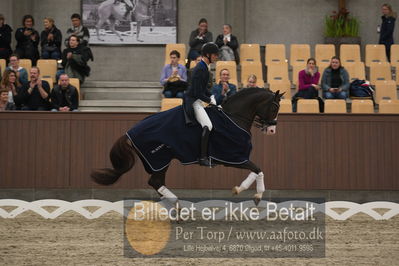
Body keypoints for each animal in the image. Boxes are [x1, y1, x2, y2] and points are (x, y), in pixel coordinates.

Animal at [90, 88, 284, 205]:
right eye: (274, 107)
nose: (272, 130)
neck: (233, 117)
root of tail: (130, 132)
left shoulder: (237, 159)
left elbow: (256, 170)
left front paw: (242, 190)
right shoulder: (233, 157)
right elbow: (258, 169)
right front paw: (255, 194)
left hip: (159, 162)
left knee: (157, 183)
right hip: (159, 160)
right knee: (155, 182)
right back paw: (177, 206)